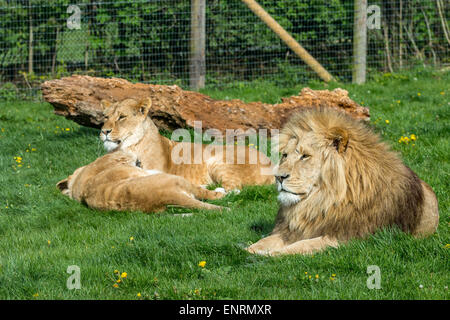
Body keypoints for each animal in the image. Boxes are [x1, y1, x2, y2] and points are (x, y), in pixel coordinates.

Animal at [99, 98, 274, 192]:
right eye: (106, 117)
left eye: (122, 117)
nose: (104, 131)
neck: (124, 147)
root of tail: (271, 163)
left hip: (218, 161)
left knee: (234, 189)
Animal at [246, 107, 440, 255]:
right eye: (285, 155)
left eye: (305, 156)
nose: (279, 177)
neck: (321, 202)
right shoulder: (290, 230)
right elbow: (264, 241)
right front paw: (249, 251)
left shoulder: (349, 238)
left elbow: (303, 246)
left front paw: (273, 254)